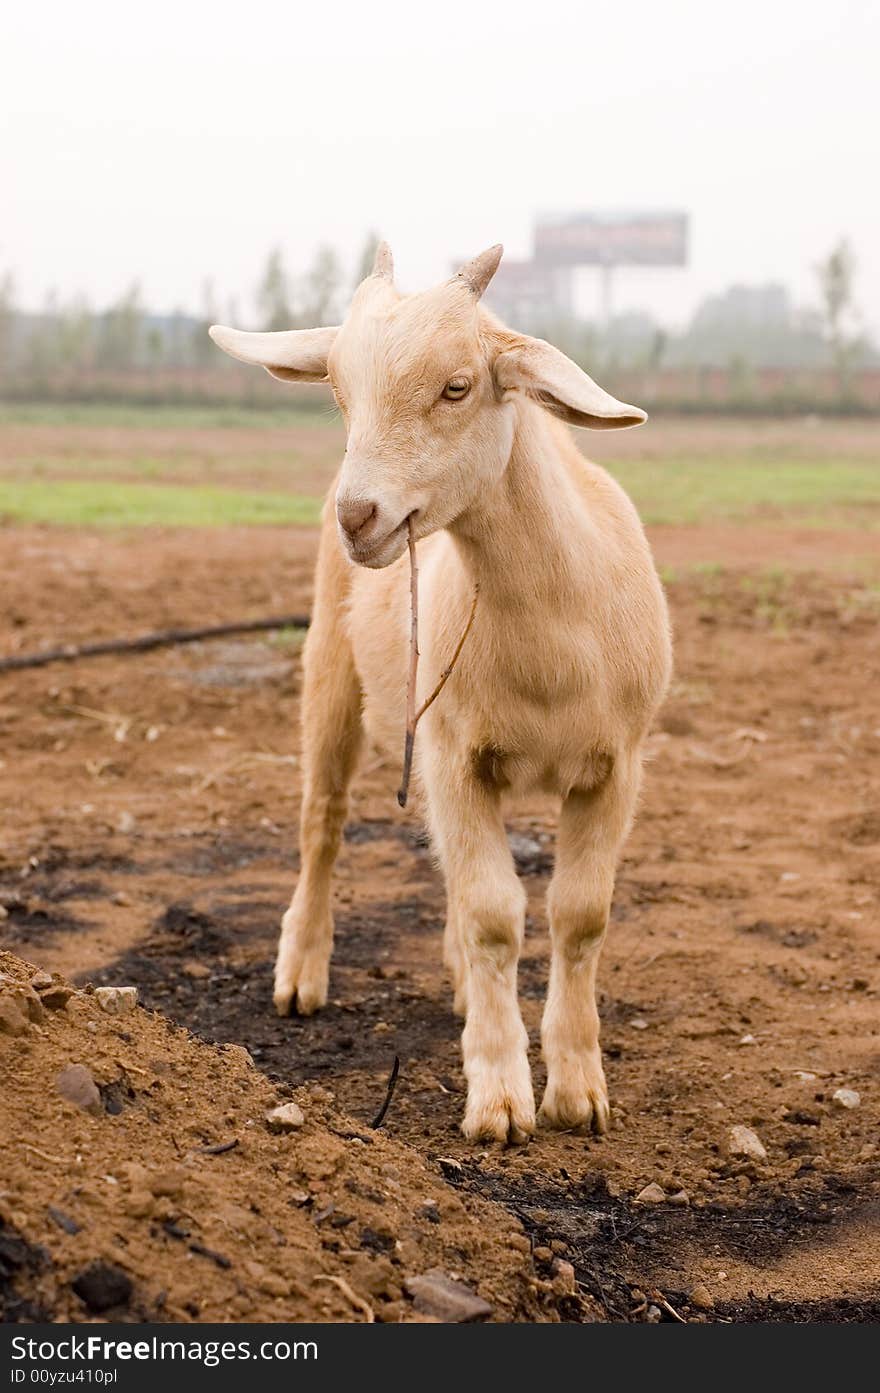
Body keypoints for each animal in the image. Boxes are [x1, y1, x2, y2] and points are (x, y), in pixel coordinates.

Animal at [211, 245, 673, 1142]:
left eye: (457, 387)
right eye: (338, 390)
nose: (359, 515)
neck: (553, 639)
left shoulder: (616, 765)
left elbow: (580, 913)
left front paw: (579, 1091)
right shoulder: (459, 753)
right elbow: (495, 912)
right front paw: (499, 1098)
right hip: (331, 669)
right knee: (323, 821)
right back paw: (301, 972)